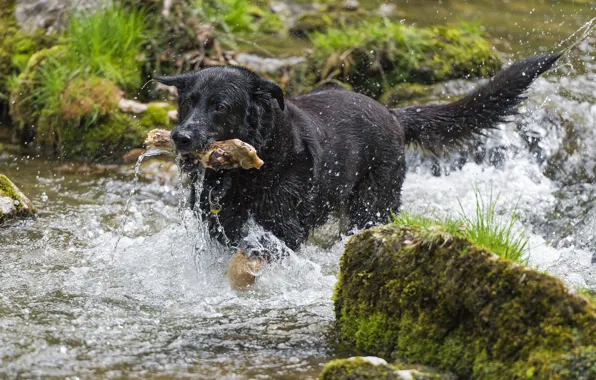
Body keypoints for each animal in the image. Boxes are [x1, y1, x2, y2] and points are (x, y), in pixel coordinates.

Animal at [156, 51, 560, 288]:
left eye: (221, 107)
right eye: (188, 102)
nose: (180, 137)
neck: (249, 169)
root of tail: (393, 115)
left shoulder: (282, 230)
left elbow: (245, 263)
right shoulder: (217, 227)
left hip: (371, 206)